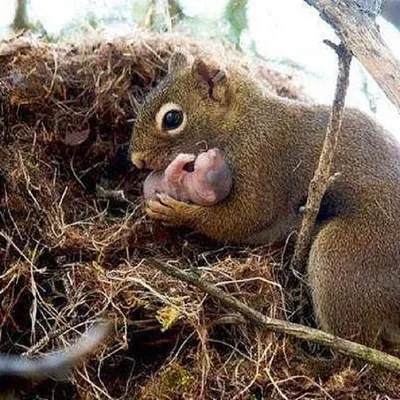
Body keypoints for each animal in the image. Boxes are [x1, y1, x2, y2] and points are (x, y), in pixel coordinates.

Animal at [130, 50, 400, 354]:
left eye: (173, 118)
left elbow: (243, 217)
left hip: (345, 258)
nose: (136, 160)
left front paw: (177, 212)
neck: (242, 121)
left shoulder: (263, 159)